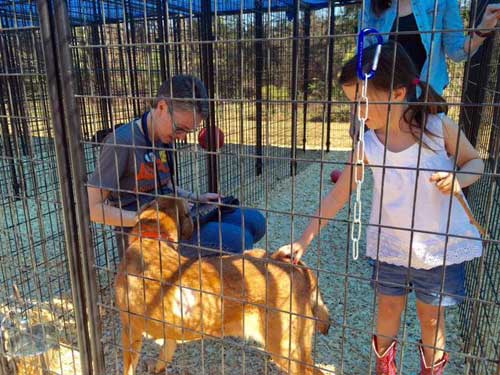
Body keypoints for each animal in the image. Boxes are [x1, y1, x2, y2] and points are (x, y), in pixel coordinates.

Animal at [115, 198, 330, 374]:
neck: (151, 237)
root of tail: (296, 266)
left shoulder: (129, 330)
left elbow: (128, 367)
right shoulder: (170, 330)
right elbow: (165, 353)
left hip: (286, 348)